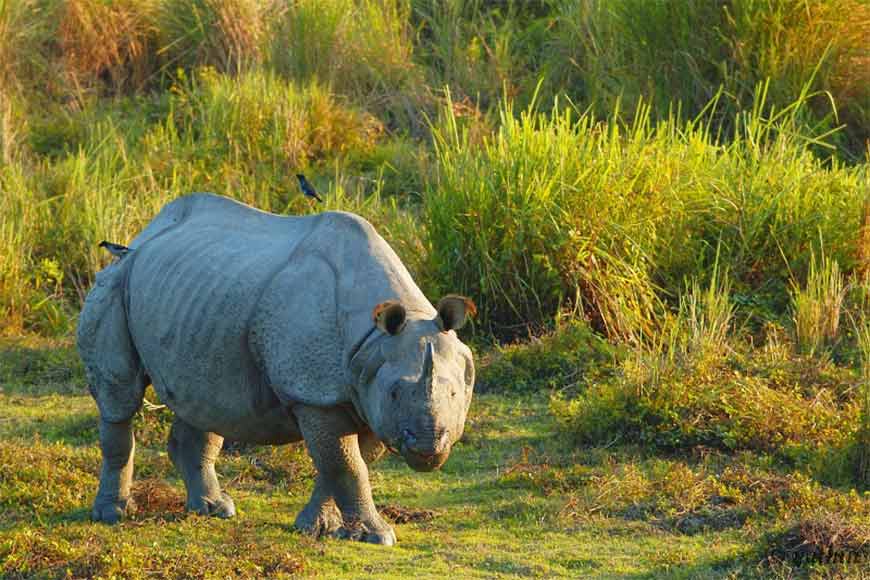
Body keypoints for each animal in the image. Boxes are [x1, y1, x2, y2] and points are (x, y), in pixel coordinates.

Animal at [76, 193, 476, 546]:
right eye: (395, 392)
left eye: (455, 393)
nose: (428, 447)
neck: (375, 335)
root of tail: (144, 234)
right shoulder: (317, 393)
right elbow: (345, 465)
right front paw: (377, 537)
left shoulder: (366, 387)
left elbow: (347, 463)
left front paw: (316, 528)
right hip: (116, 282)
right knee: (120, 400)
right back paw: (113, 514)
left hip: (198, 300)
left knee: (206, 399)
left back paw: (214, 510)